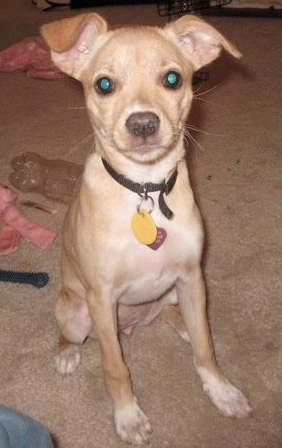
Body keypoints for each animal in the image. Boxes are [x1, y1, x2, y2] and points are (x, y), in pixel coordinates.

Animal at [41, 13, 251, 444]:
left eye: (172, 79)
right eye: (104, 84)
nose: (142, 124)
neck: (144, 190)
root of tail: (131, 326)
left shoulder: (190, 276)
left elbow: (205, 348)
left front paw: (220, 391)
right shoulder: (102, 297)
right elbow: (116, 369)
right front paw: (128, 417)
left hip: (174, 292)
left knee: (179, 317)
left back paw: (185, 325)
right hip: (75, 310)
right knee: (69, 334)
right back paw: (67, 353)